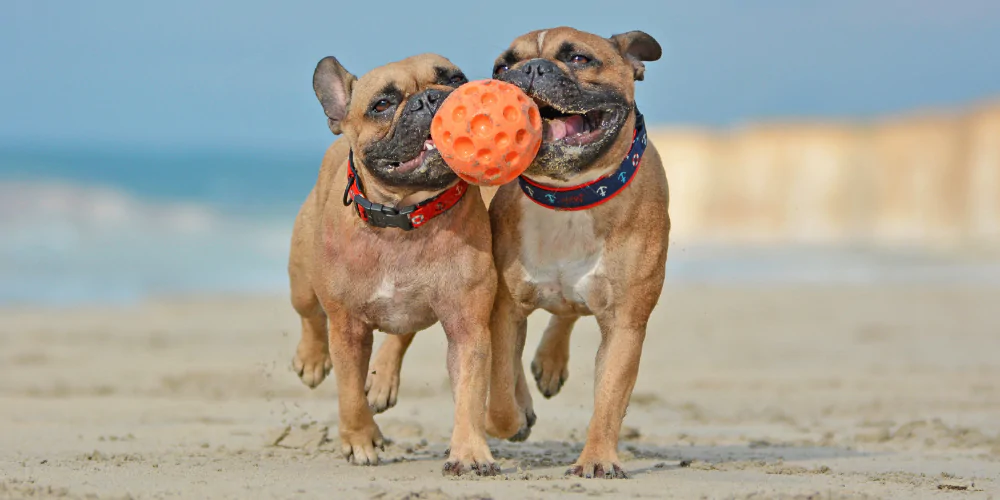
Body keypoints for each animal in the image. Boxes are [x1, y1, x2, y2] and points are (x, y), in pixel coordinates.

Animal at [288, 52, 498, 474]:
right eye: (382, 105)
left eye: (456, 79)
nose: (430, 98)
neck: (406, 214)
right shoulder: (347, 328)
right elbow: (350, 390)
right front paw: (360, 440)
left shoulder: (468, 326)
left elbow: (470, 389)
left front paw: (469, 451)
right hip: (301, 277)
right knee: (310, 315)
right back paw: (312, 360)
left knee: (402, 333)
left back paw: (383, 376)